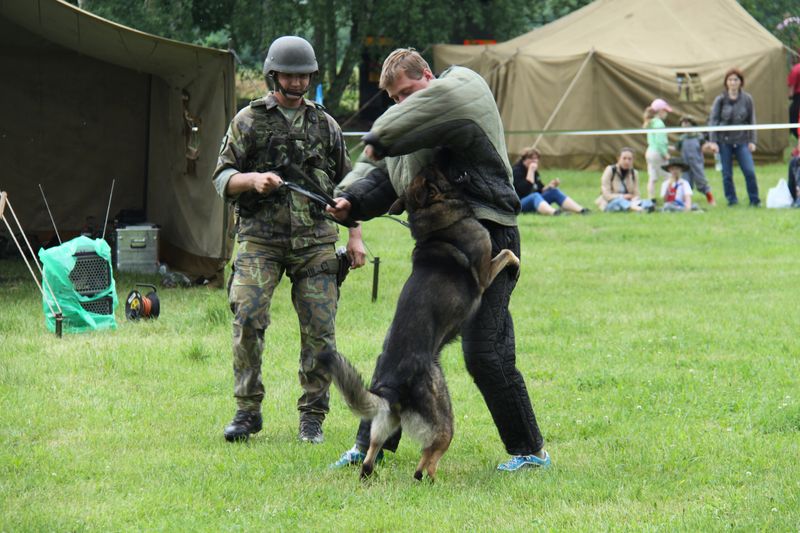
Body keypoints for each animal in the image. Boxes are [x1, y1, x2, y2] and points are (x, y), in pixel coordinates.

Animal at [318, 164, 520, 480]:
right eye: (435, 173)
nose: (442, 160)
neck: (437, 224)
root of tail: (391, 388)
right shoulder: (486, 273)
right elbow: (508, 253)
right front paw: (516, 265)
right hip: (443, 418)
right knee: (425, 462)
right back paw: (433, 480)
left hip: (383, 425)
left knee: (369, 459)